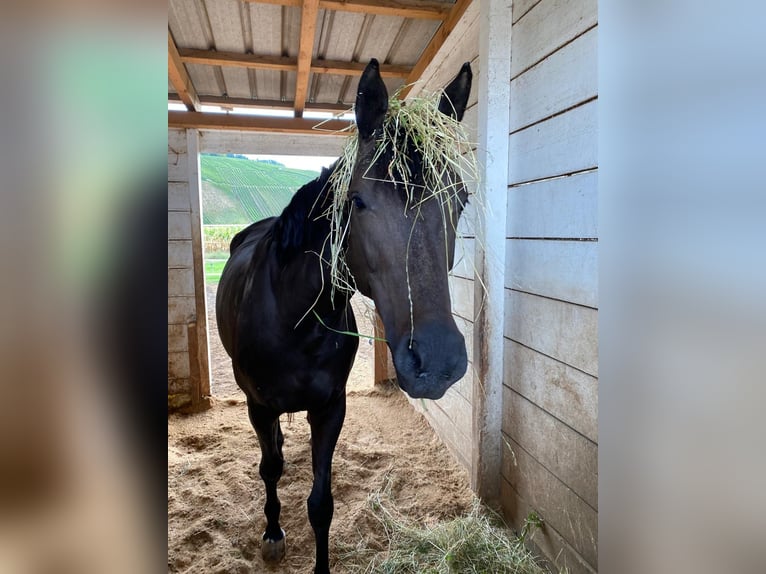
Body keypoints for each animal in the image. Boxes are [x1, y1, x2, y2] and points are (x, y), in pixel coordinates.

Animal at [216, 59, 473, 574]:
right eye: (357, 201)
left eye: (461, 199)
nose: (437, 362)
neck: (294, 320)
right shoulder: (258, 405)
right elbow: (269, 468)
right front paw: (272, 534)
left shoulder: (331, 407)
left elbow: (321, 503)